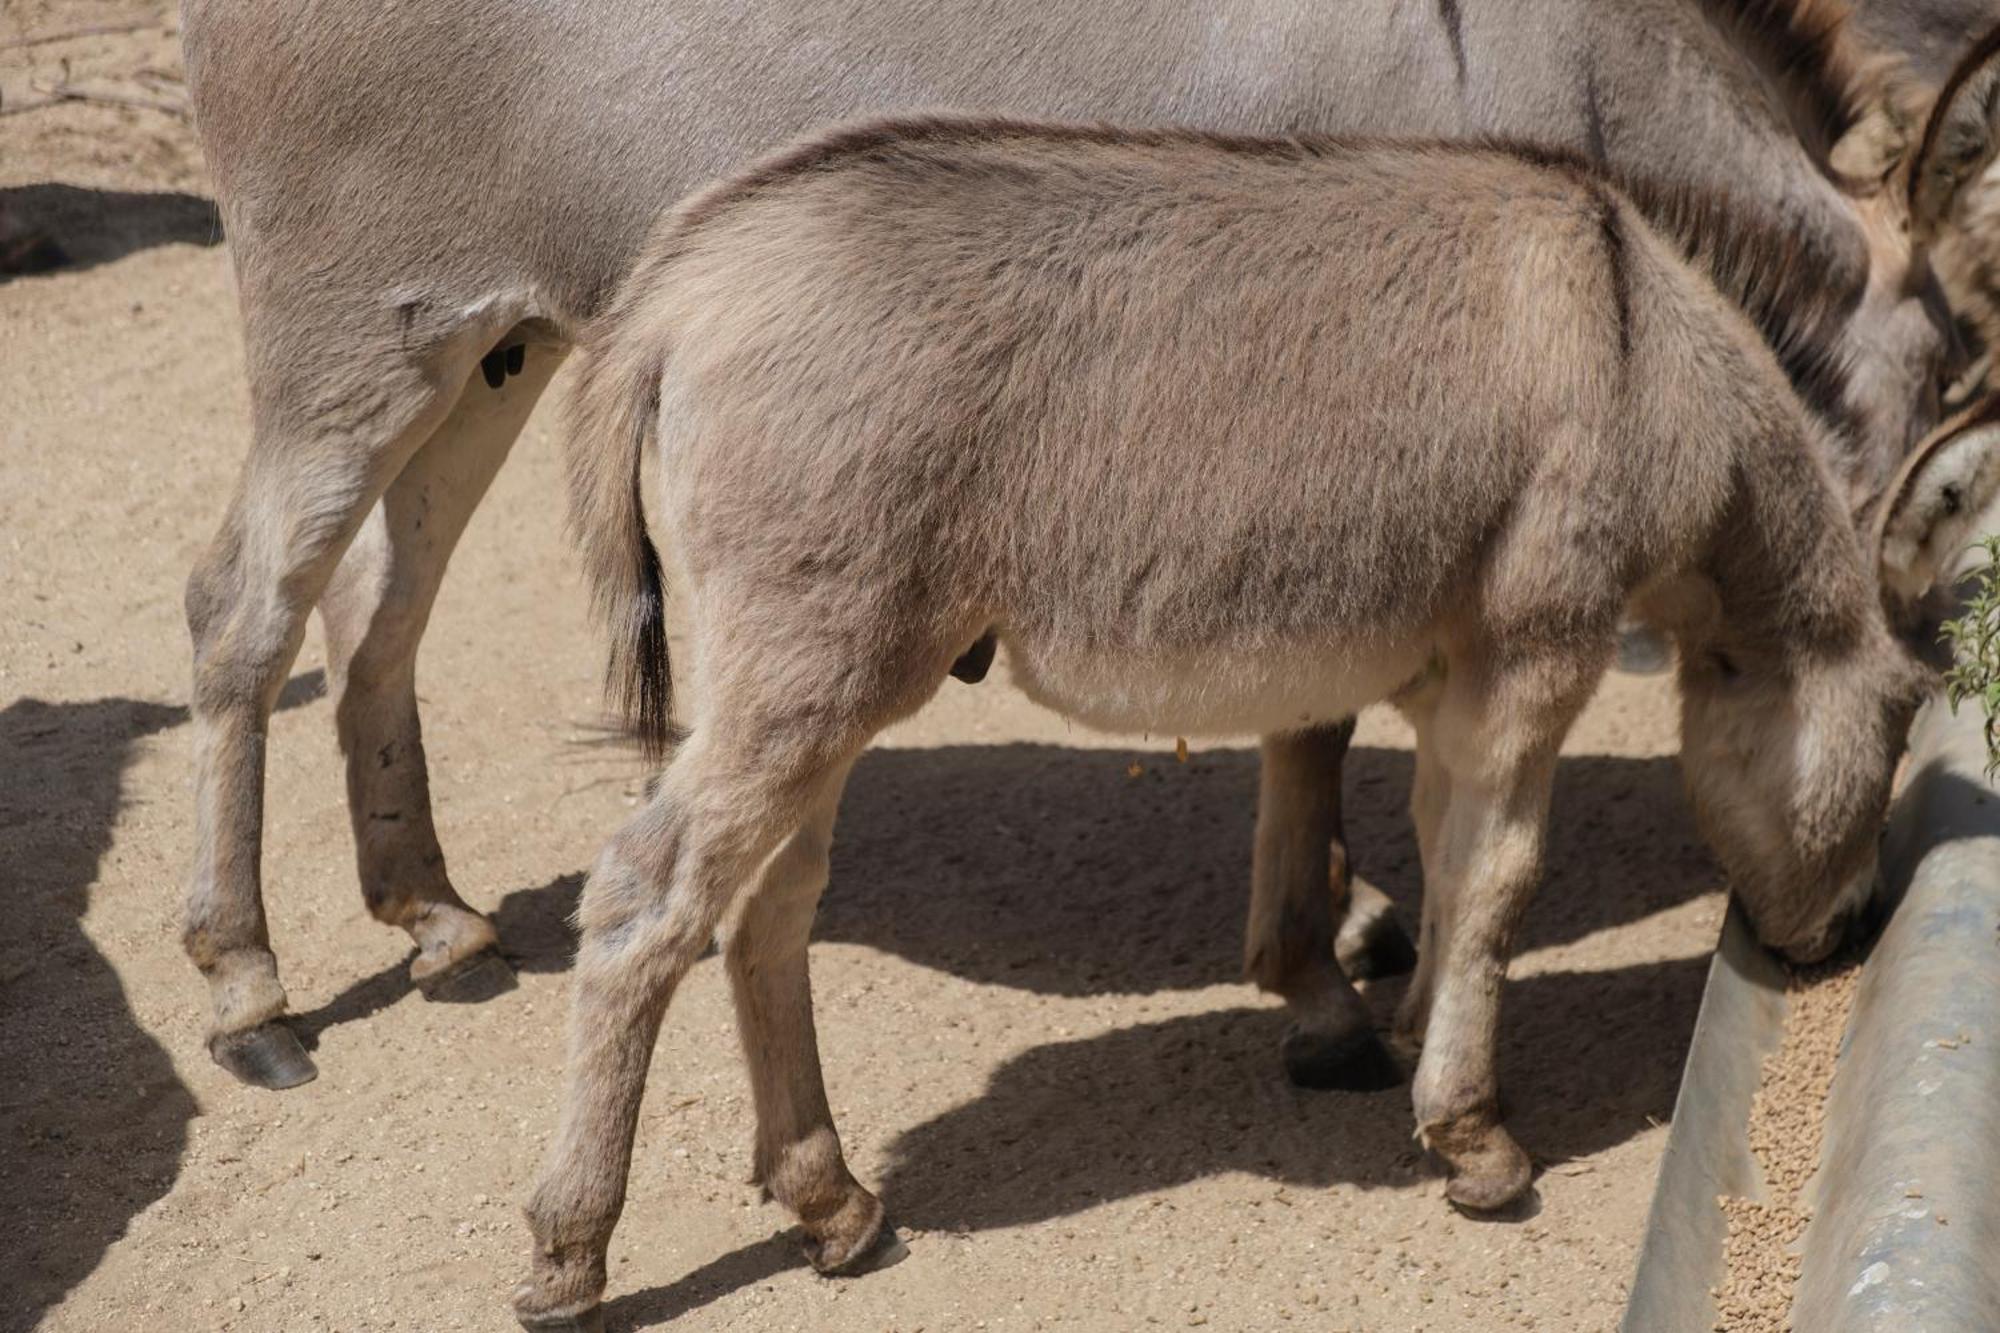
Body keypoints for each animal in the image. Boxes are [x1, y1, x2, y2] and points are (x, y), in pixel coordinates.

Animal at [512, 119, 1984, 1320]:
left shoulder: (1440, 664)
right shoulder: (1537, 647)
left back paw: (830, 1204)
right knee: (647, 898)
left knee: (767, 908)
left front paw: (1402, 1030)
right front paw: (1475, 1140)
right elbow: (1500, 878)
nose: (1843, 936)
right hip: (809, 670)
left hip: (813, 681)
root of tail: (681, 282)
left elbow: (1435, 846)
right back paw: (571, 1253)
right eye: (1901, 715)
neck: (1649, 359)